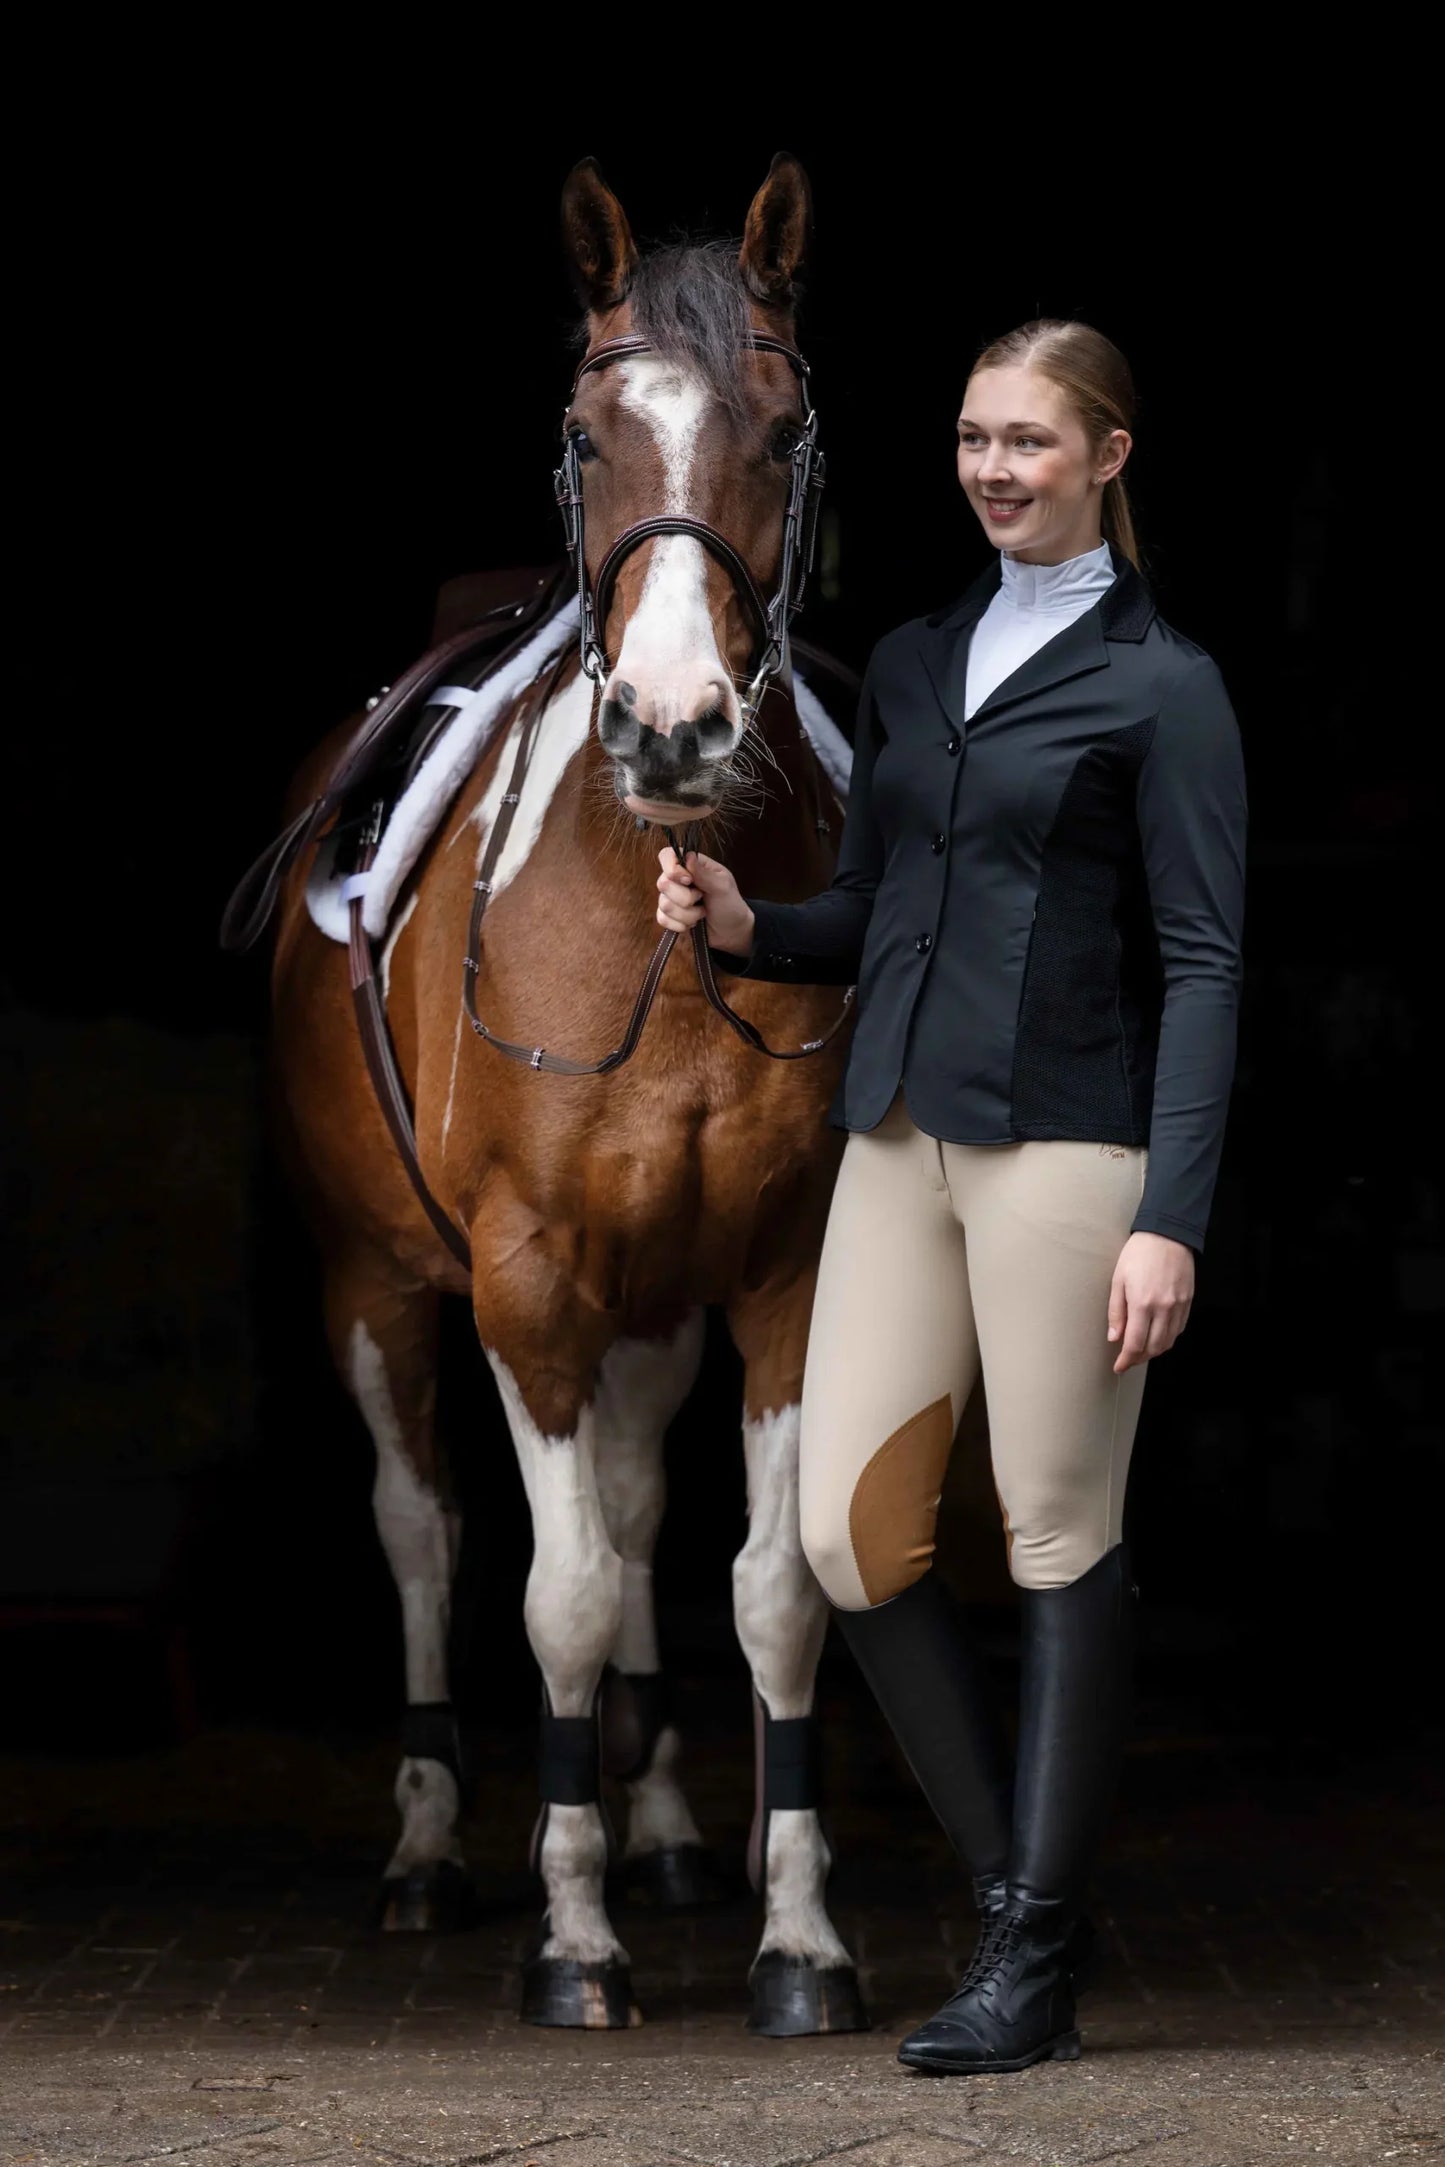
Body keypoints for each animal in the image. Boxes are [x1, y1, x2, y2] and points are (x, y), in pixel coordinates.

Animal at [268, 152, 857, 2028]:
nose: (673, 726)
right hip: (378, 1285)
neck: (660, 906)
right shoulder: (523, 1280)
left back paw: (658, 1822)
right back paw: (433, 1843)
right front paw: (573, 1937)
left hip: (649, 1305)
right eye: (589, 435)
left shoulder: (784, 1271)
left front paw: (797, 1935)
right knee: (428, 1532)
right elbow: (564, 1593)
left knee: (639, 1494)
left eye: (783, 426)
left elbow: (766, 1589)